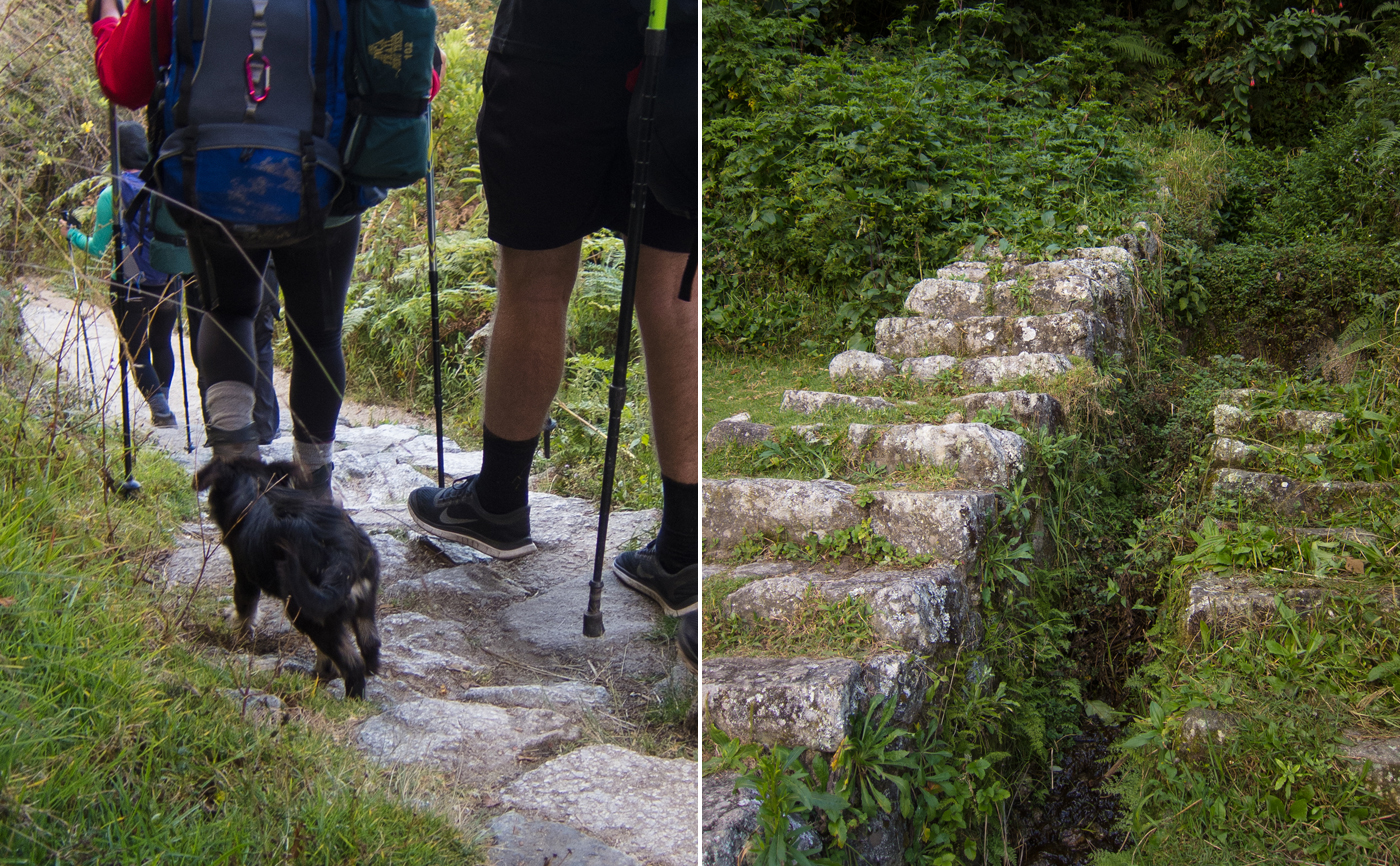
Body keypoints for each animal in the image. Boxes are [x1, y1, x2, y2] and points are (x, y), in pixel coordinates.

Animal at [196, 456, 383, 702]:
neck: (258, 485)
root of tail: (344, 557)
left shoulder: (244, 574)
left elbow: (245, 608)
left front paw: (239, 633)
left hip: (307, 612)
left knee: (350, 662)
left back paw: (349, 699)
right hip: (362, 601)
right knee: (369, 643)